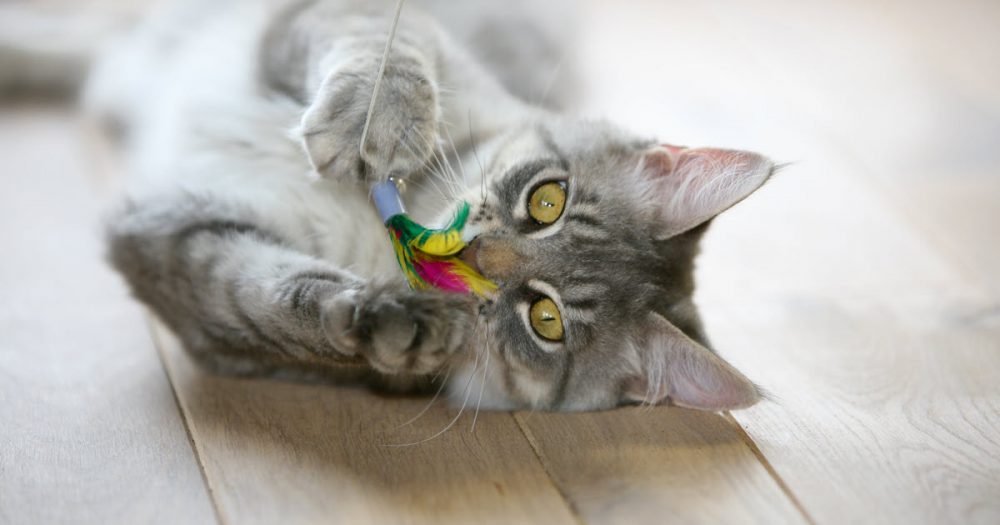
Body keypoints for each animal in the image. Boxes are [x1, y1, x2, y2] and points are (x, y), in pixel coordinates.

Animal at [21, 0, 780, 410]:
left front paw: (389, 322)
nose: (475, 256)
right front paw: (373, 125)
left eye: (545, 321)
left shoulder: (172, 242)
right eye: (547, 200)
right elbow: (381, 52)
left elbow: (273, 298)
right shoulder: (355, 21)